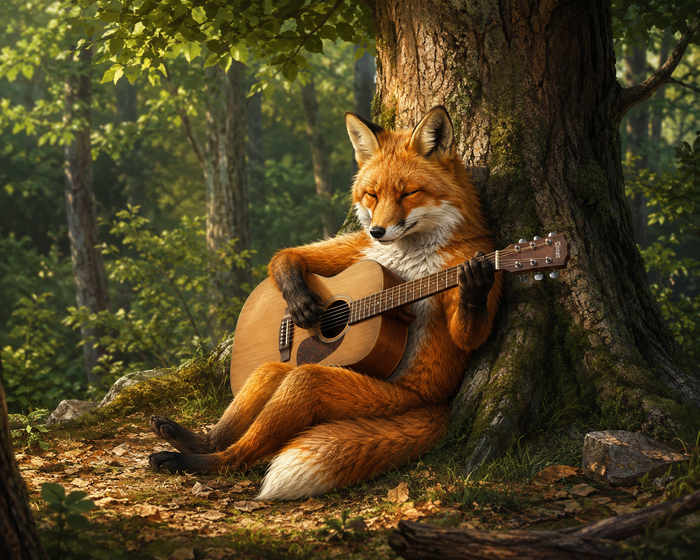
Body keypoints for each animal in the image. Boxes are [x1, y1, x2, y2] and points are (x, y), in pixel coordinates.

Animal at [147, 106, 503, 500]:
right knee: (267, 377)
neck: (405, 261)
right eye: (372, 195)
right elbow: (289, 255)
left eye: (409, 193)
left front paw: (475, 285)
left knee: (256, 435)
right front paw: (301, 303)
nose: (377, 231)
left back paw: (196, 461)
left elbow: (468, 337)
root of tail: (439, 406)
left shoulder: (469, 258)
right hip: (293, 369)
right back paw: (190, 440)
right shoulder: (357, 248)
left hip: (361, 393)